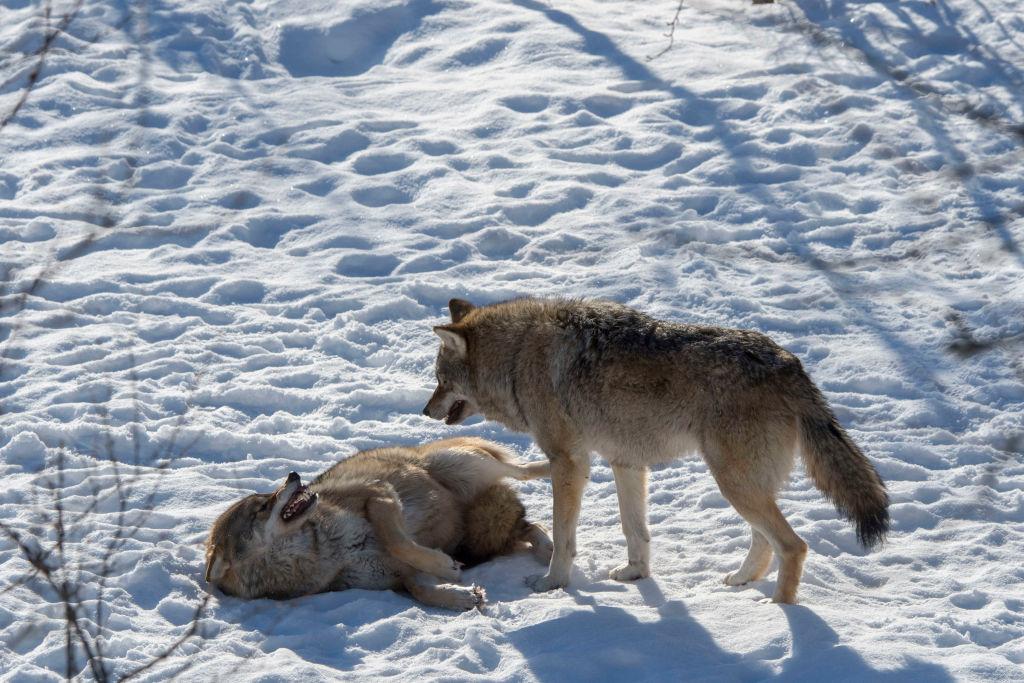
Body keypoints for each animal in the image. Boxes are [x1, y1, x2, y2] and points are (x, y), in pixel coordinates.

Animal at [201, 438, 552, 610]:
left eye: (264, 496)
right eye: (262, 506)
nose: (294, 475)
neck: (324, 552)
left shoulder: (377, 494)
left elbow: (399, 542)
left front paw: (444, 566)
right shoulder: (398, 576)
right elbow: (421, 591)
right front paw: (462, 598)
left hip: (463, 466)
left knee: (524, 470)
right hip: (487, 529)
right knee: (528, 525)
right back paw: (548, 553)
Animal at [423, 299, 888, 602]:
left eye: (441, 380)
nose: (425, 410)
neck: (517, 356)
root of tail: (789, 362)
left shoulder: (569, 463)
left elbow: (562, 537)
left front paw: (552, 584)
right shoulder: (626, 462)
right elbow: (636, 531)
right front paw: (635, 574)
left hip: (734, 484)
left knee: (794, 545)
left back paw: (777, 612)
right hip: (744, 486)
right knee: (766, 541)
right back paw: (741, 582)